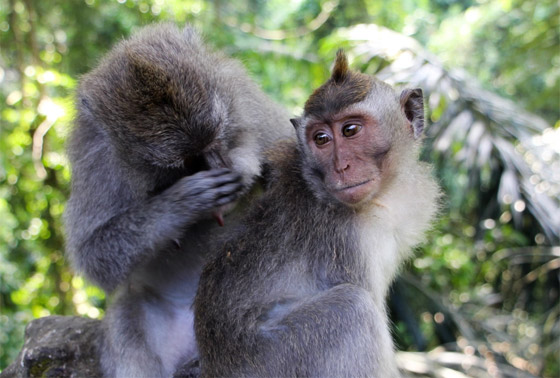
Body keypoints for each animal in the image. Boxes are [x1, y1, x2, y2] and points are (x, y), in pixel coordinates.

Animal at [64, 23, 294, 378]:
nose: (219, 165)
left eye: (217, 136)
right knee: (127, 312)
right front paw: (182, 203)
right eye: (185, 163)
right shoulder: (96, 160)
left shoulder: (242, 94)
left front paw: (245, 164)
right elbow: (94, 254)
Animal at [195, 51, 440, 378]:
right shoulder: (344, 241)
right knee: (352, 308)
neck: (379, 199)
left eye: (350, 130)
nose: (341, 167)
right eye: (321, 138)